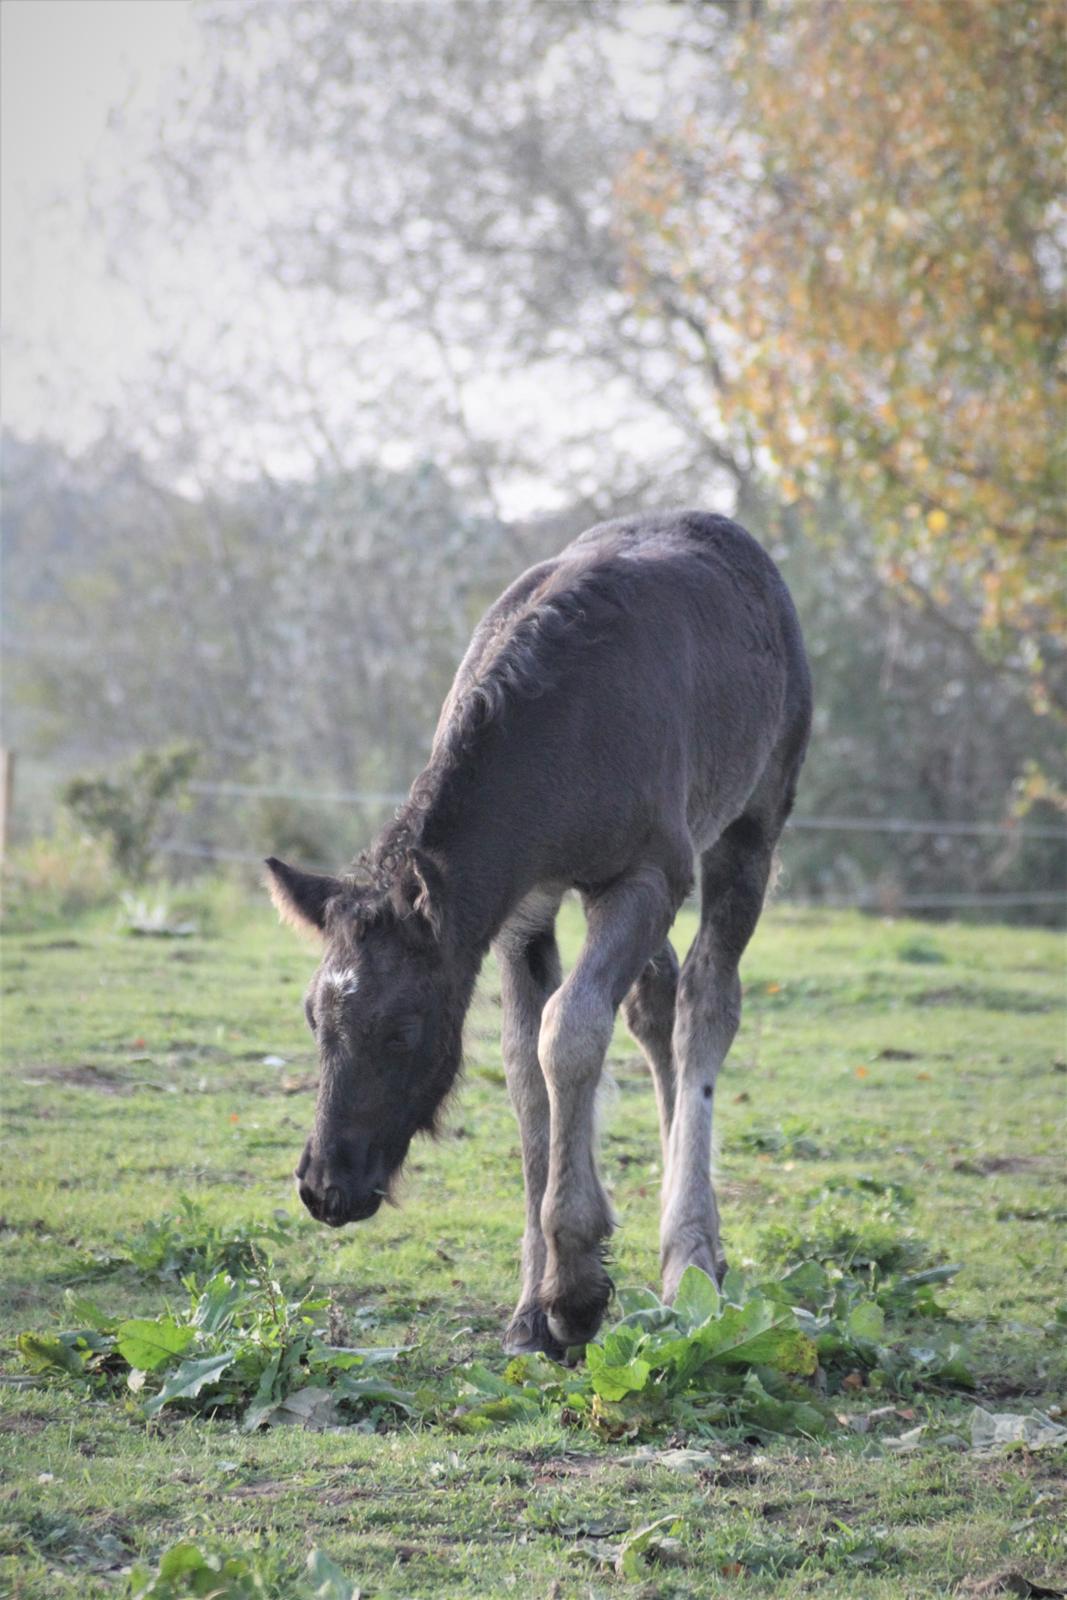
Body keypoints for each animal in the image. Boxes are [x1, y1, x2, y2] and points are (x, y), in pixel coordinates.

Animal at [265, 509, 811, 1356]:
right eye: (312, 1018)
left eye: (402, 1030)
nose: (326, 1186)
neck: (562, 732)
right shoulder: (522, 908)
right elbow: (526, 1066)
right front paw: (532, 1307)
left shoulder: (647, 878)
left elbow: (569, 1033)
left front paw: (576, 1287)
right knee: (653, 1004)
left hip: (750, 831)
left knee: (704, 1007)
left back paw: (691, 1254)